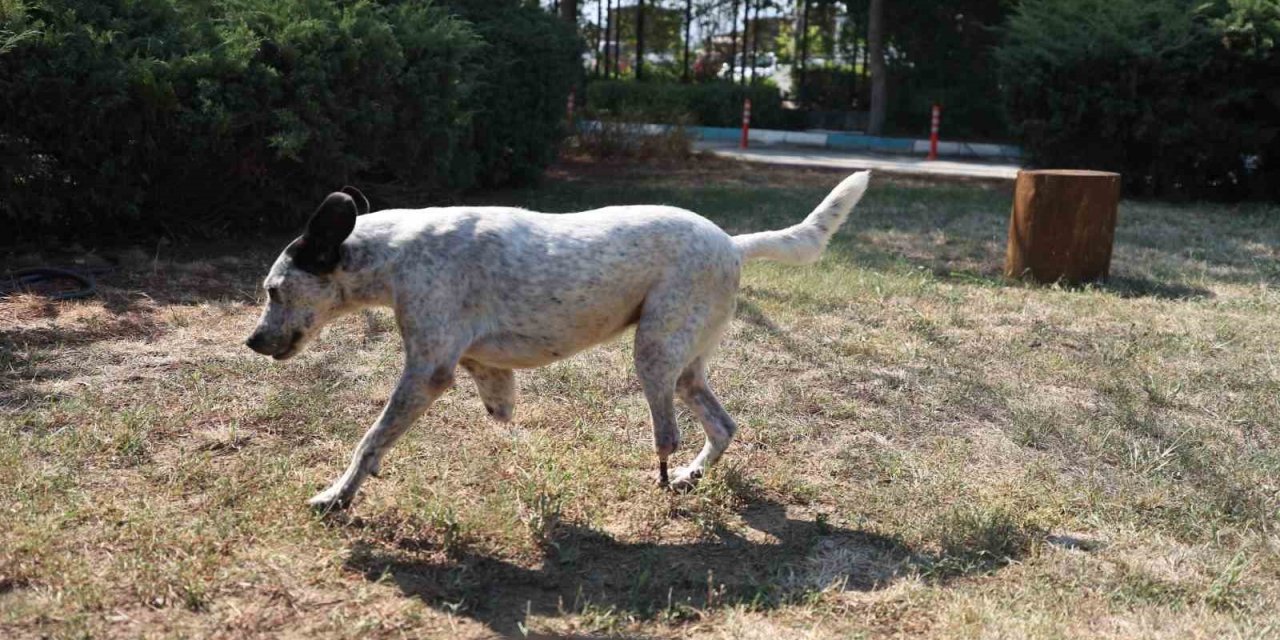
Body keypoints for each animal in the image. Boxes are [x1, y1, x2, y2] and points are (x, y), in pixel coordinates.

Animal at [243, 171, 870, 509]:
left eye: (273, 291)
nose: (252, 342)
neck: (396, 252)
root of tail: (735, 244)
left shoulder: (425, 372)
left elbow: (370, 439)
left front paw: (338, 495)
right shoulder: (468, 363)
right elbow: (493, 391)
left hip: (654, 354)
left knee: (667, 434)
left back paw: (666, 479)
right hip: (687, 368)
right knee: (723, 426)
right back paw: (689, 477)